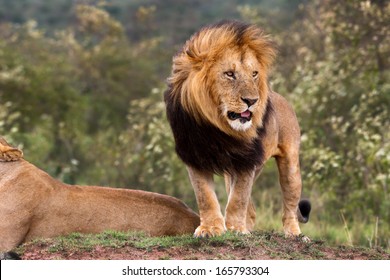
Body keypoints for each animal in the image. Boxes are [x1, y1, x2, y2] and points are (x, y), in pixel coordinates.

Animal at [165, 20, 310, 238]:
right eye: (230, 74)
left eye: (254, 74)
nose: (252, 101)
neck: (218, 127)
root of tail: (281, 98)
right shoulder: (194, 154)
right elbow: (205, 196)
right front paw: (211, 228)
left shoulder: (246, 160)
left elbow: (238, 199)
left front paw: (235, 229)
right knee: (251, 209)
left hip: (291, 166)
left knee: (290, 207)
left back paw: (294, 234)